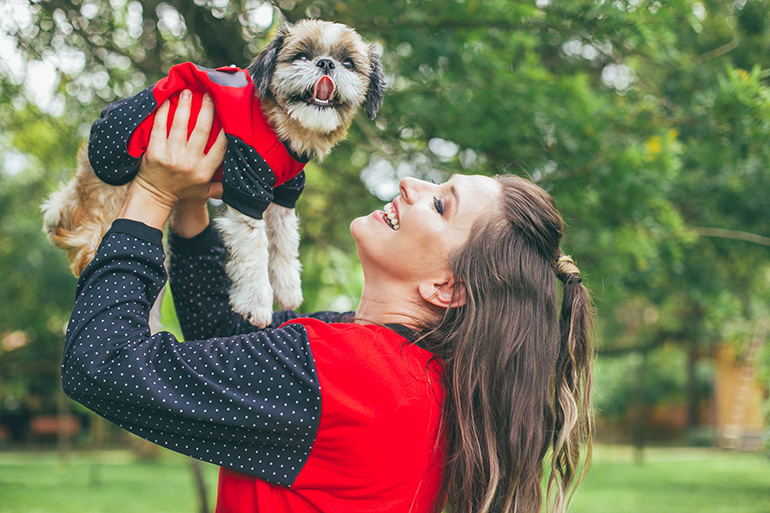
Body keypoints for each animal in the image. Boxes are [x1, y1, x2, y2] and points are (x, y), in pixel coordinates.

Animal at [42, 20, 384, 326]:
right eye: (301, 56)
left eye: (348, 63)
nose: (326, 63)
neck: (281, 124)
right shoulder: (247, 179)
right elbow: (256, 250)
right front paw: (257, 304)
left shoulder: (284, 191)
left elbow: (285, 243)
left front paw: (288, 289)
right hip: (107, 211)